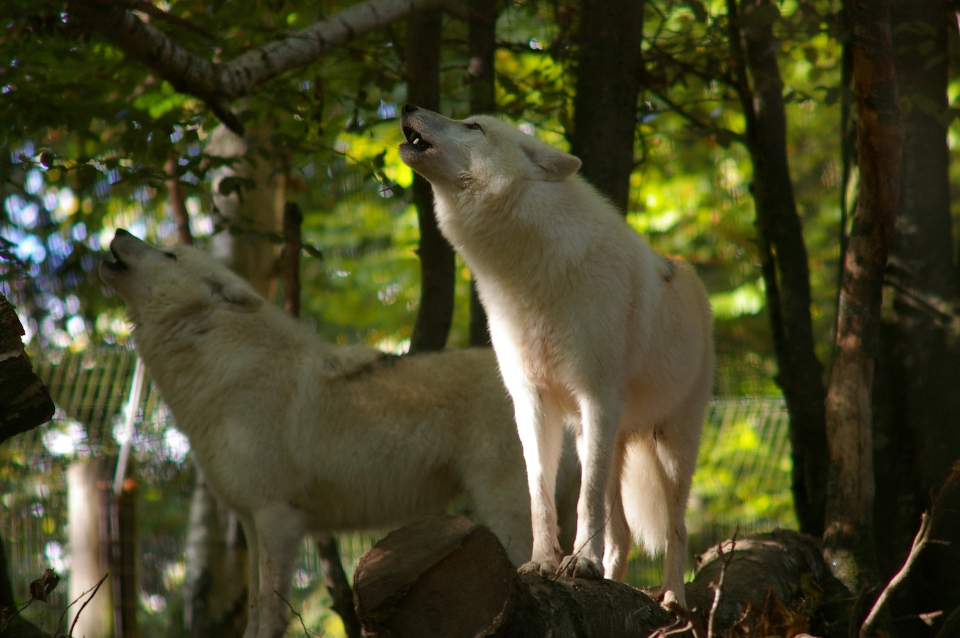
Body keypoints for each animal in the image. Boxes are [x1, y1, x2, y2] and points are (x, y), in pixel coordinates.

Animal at [99, 232, 576, 638]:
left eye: (168, 256)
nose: (120, 231)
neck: (224, 370)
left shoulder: (277, 516)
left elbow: (270, 609)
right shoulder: (251, 522)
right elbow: (254, 607)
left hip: (503, 507)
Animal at [398, 104, 712, 604]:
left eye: (473, 126)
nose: (408, 107)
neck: (527, 277)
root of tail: (689, 275)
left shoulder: (596, 398)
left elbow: (584, 502)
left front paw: (580, 563)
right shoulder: (531, 402)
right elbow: (539, 497)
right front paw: (544, 563)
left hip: (671, 446)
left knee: (674, 529)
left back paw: (671, 600)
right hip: (595, 440)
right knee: (622, 531)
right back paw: (612, 582)